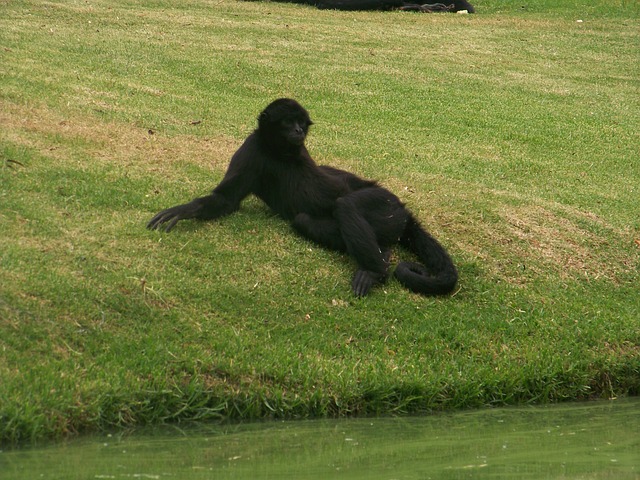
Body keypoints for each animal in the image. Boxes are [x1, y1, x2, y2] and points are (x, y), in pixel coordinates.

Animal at [148, 99, 458, 296]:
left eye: (300, 123)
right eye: (288, 121)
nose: (298, 130)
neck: (280, 153)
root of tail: (404, 212)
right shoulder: (251, 148)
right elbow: (226, 199)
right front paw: (186, 209)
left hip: (385, 204)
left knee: (344, 204)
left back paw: (374, 271)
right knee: (304, 220)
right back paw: (382, 255)